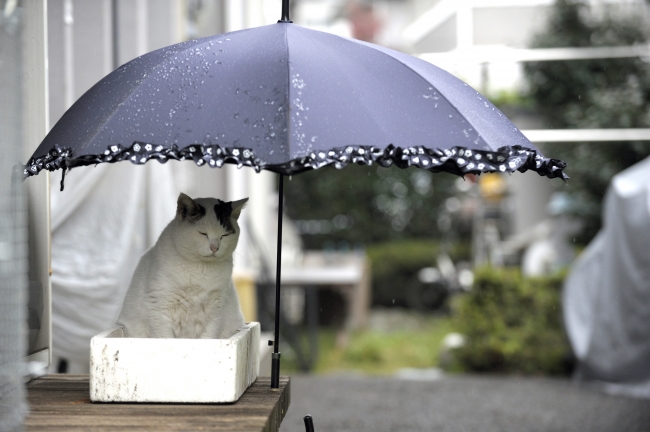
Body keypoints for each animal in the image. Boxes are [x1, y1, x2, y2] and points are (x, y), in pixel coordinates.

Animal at [116, 194, 248, 340]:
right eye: (203, 233)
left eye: (224, 235)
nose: (215, 247)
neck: (200, 270)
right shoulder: (159, 308)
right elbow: (164, 337)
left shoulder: (216, 309)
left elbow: (208, 337)